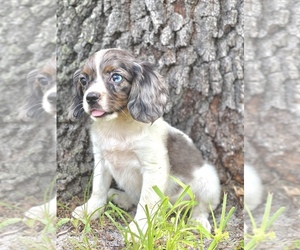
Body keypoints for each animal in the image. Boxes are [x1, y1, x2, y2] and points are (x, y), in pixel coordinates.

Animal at [69, 48, 220, 236]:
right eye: (83, 80)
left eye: (116, 77)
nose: (90, 97)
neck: (117, 127)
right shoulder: (101, 159)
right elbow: (98, 189)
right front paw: (90, 210)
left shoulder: (153, 167)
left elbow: (146, 202)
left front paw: (139, 228)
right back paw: (121, 197)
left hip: (209, 181)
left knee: (202, 207)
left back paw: (198, 221)